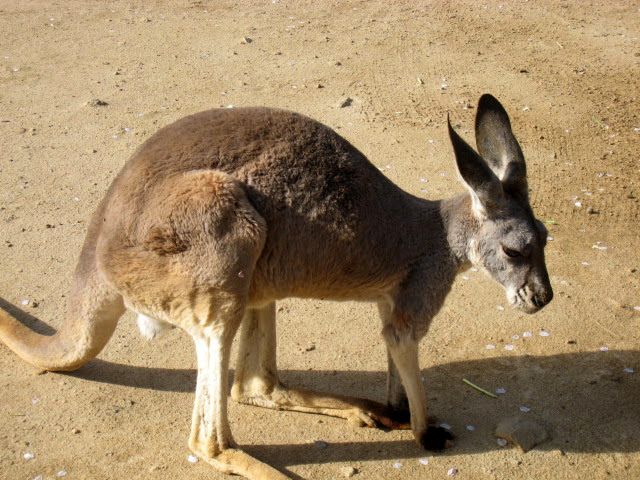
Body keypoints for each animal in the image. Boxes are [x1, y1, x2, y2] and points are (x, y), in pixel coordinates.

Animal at [0, 94, 552, 479]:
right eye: (514, 252)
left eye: (546, 238)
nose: (542, 298)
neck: (442, 234)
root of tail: (99, 241)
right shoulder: (420, 287)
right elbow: (401, 342)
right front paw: (423, 432)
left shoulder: (392, 295)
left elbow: (392, 351)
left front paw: (397, 408)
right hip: (220, 236)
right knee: (208, 440)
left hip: (255, 278)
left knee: (254, 387)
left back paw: (360, 410)